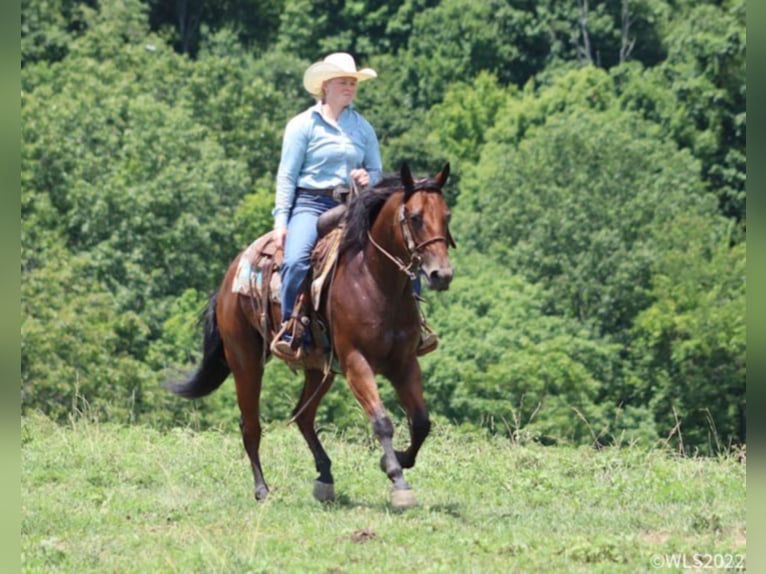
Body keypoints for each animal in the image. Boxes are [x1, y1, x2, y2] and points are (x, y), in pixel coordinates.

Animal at [166, 162, 456, 508]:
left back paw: (325, 477)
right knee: (251, 425)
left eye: (446, 215)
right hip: (245, 362)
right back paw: (262, 489)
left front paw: (395, 459)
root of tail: (229, 278)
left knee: (302, 417)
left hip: (320, 369)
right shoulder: (356, 362)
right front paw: (398, 481)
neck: (374, 282)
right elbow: (382, 422)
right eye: (414, 217)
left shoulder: (405, 362)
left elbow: (421, 422)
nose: (441, 274)